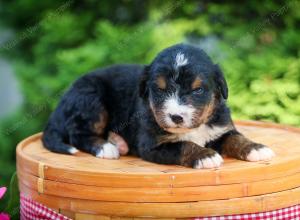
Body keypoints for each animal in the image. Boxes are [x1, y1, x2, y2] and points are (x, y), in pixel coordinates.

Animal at [41, 43, 274, 168]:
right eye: (160, 90)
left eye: (198, 90)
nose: (176, 117)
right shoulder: (152, 145)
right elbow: (184, 145)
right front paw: (205, 156)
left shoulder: (220, 128)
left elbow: (235, 138)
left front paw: (256, 148)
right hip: (91, 99)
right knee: (78, 134)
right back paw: (106, 147)